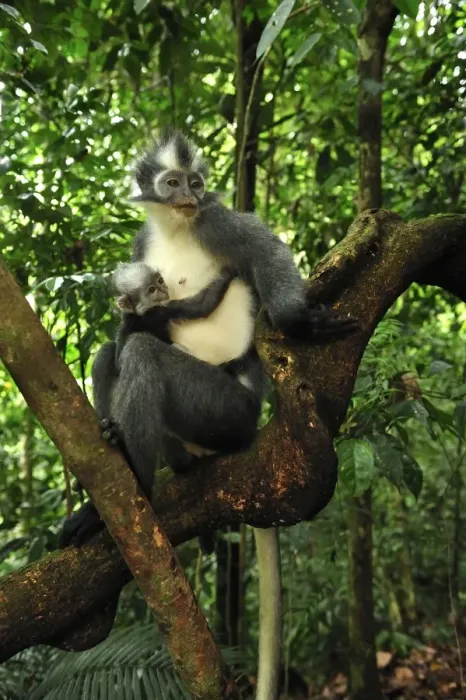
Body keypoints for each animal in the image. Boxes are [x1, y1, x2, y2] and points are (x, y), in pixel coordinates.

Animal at [60, 129, 357, 700]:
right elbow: (119, 336)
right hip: (184, 439)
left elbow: (264, 251)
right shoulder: (144, 250)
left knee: (143, 355)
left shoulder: (219, 221)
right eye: (172, 183)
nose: (189, 195)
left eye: (196, 183)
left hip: (224, 410)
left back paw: (134, 488)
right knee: (111, 355)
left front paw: (299, 321)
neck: (178, 227)